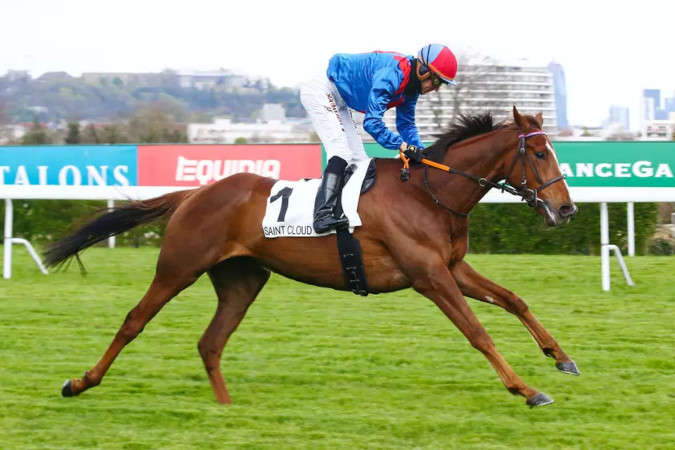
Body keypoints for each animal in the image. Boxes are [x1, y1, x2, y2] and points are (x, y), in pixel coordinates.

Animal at [44, 106, 579, 408]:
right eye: (539, 155)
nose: (567, 209)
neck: (429, 192)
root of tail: (195, 193)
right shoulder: (428, 275)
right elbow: (478, 332)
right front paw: (527, 391)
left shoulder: (451, 266)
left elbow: (512, 299)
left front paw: (562, 358)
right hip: (179, 266)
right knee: (134, 321)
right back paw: (79, 382)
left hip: (242, 280)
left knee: (210, 342)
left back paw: (227, 408)